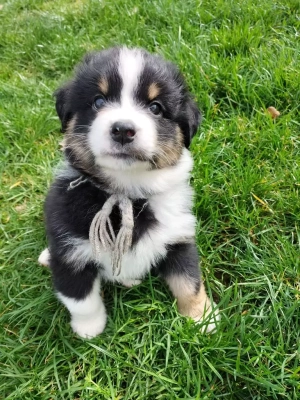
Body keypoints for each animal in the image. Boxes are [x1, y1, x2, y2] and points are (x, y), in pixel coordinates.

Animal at [38, 48, 219, 340]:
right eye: (98, 101)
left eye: (156, 108)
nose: (123, 129)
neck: (127, 192)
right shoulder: (70, 254)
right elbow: (81, 298)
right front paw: (89, 328)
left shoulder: (179, 237)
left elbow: (189, 281)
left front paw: (201, 317)